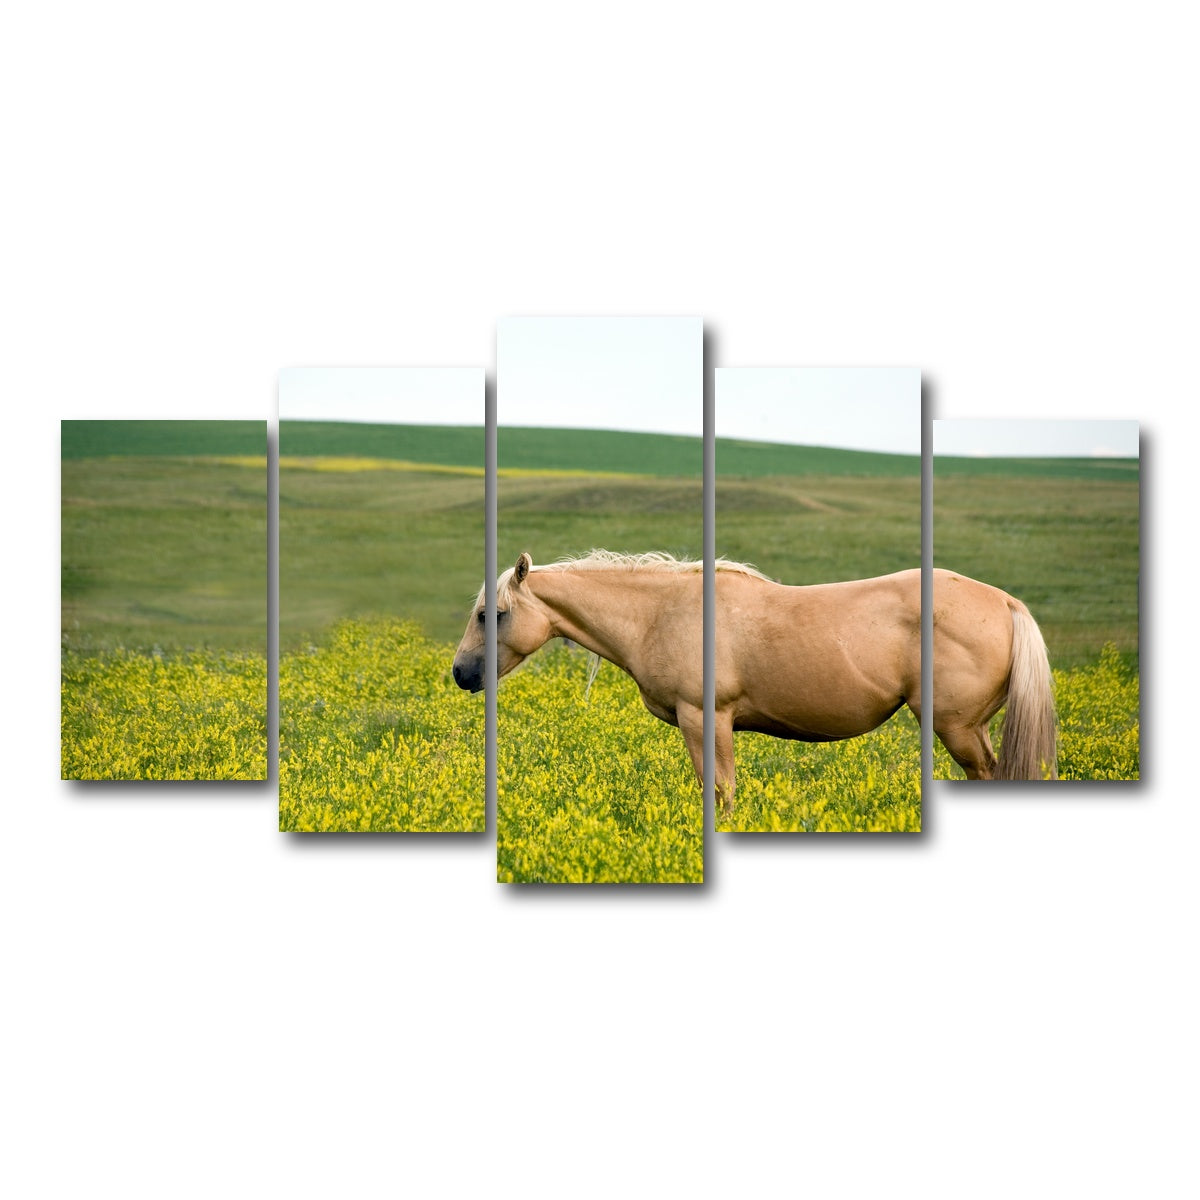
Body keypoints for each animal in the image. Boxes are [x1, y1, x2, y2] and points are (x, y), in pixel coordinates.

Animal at [452, 552, 1057, 814]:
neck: (660, 612)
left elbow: (719, 791)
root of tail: (1005, 602)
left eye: (491, 614)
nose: (460, 673)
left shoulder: (706, 719)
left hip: (959, 729)